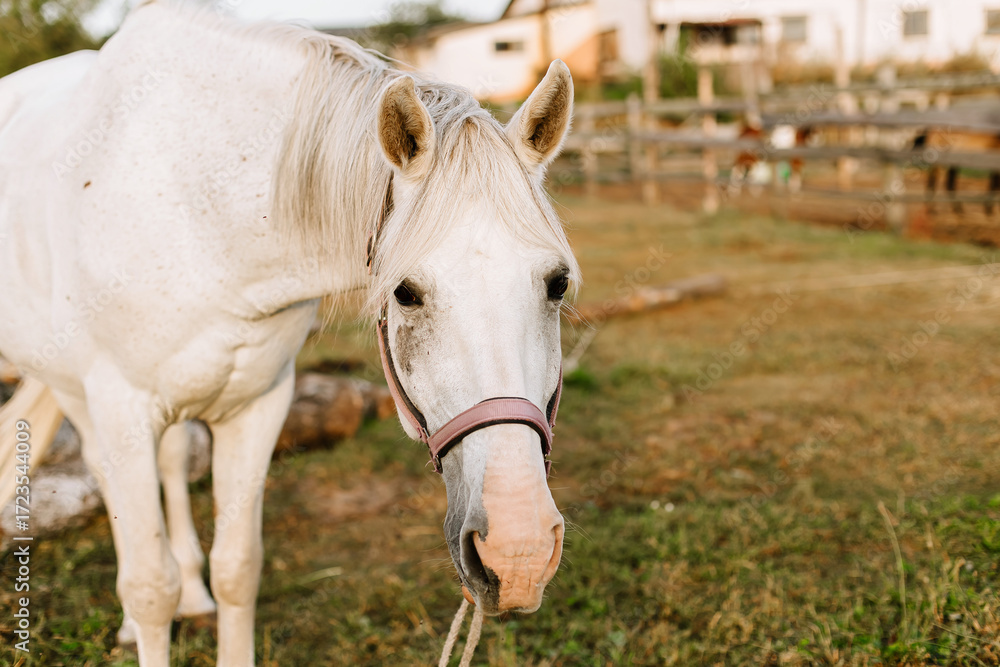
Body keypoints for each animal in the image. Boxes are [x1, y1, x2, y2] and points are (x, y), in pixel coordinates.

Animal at [0, 2, 579, 664]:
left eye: (557, 283)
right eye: (406, 291)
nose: (518, 553)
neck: (199, 209)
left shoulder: (258, 406)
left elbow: (237, 569)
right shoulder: (123, 409)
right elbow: (149, 587)